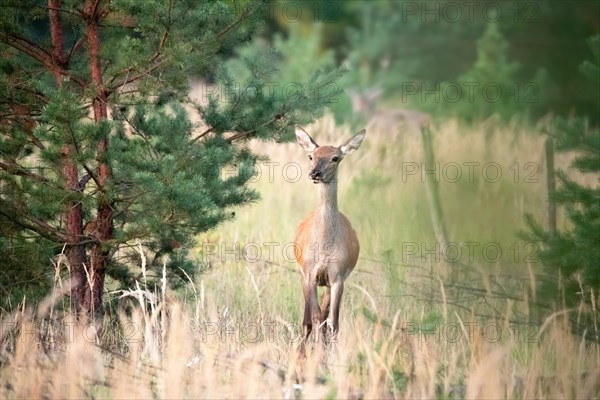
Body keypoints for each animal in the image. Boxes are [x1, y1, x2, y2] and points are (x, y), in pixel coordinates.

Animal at [292, 124, 366, 354]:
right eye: (311, 156)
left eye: (335, 158)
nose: (314, 173)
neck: (324, 247)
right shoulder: (309, 273)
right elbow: (312, 318)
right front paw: (307, 355)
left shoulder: (338, 276)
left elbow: (333, 322)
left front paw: (330, 355)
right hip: (304, 276)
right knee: (308, 318)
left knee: (324, 317)